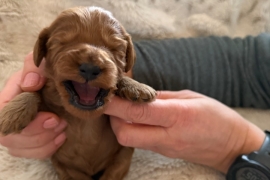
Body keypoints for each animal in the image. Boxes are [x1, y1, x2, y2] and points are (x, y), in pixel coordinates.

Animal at [0, 6, 156, 179]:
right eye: (61, 42)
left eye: (115, 48)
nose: (90, 68)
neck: (84, 119)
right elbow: (34, 92)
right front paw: (13, 113)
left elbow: (120, 78)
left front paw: (136, 86)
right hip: (65, 167)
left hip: (123, 156)